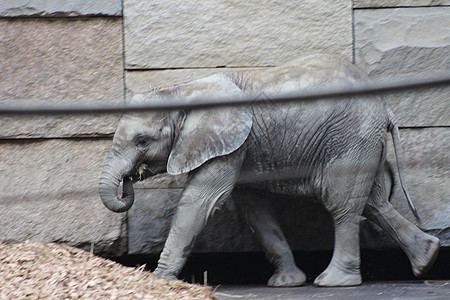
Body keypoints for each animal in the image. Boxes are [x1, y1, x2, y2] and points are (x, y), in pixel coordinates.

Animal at [99, 55, 440, 288]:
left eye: (142, 141)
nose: (129, 181)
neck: (181, 89)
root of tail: (384, 105)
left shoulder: (230, 143)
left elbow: (202, 201)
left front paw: (161, 280)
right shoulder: (243, 144)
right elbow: (254, 210)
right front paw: (287, 283)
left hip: (351, 137)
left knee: (342, 204)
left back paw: (334, 281)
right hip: (363, 141)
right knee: (374, 202)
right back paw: (427, 258)